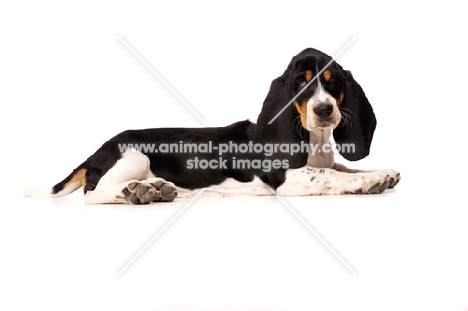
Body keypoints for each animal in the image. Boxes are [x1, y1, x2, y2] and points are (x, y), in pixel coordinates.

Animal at [23, 47, 400, 205]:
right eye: (301, 84)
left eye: (333, 82)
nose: (324, 110)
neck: (315, 138)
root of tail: (95, 152)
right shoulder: (288, 179)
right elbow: (330, 175)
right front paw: (370, 180)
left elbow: (340, 168)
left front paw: (382, 173)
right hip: (134, 156)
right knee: (93, 193)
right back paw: (139, 192)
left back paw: (152, 190)